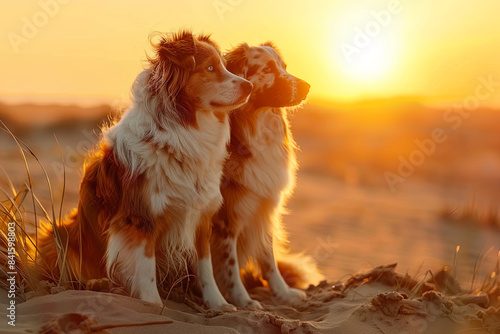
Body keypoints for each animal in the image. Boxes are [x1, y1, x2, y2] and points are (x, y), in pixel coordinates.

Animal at [38, 30, 254, 312]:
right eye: (210, 68)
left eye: (225, 66)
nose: (250, 86)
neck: (182, 133)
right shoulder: (139, 216)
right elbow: (145, 263)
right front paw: (151, 303)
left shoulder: (200, 216)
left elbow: (205, 265)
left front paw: (217, 304)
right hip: (58, 235)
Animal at [210, 42, 320, 310]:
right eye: (268, 69)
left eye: (284, 66)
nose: (307, 86)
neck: (256, 128)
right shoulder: (226, 218)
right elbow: (229, 263)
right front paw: (242, 300)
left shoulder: (264, 209)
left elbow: (268, 259)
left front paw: (283, 293)